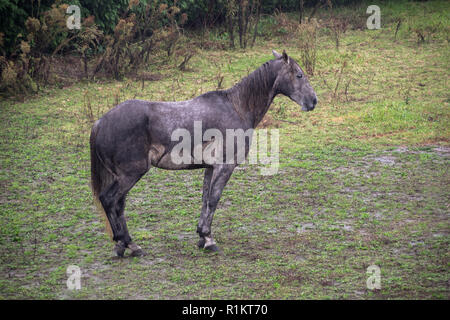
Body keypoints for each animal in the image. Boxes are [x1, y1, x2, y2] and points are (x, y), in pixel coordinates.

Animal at [90, 50, 316, 256]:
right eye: (299, 75)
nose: (313, 101)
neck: (236, 107)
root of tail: (100, 123)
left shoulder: (209, 167)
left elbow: (205, 199)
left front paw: (201, 235)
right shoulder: (224, 167)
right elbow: (213, 199)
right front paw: (208, 239)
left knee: (118, 206)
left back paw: (124, 245)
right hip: (130, 175)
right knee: (109, 201)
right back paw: (127, 242)